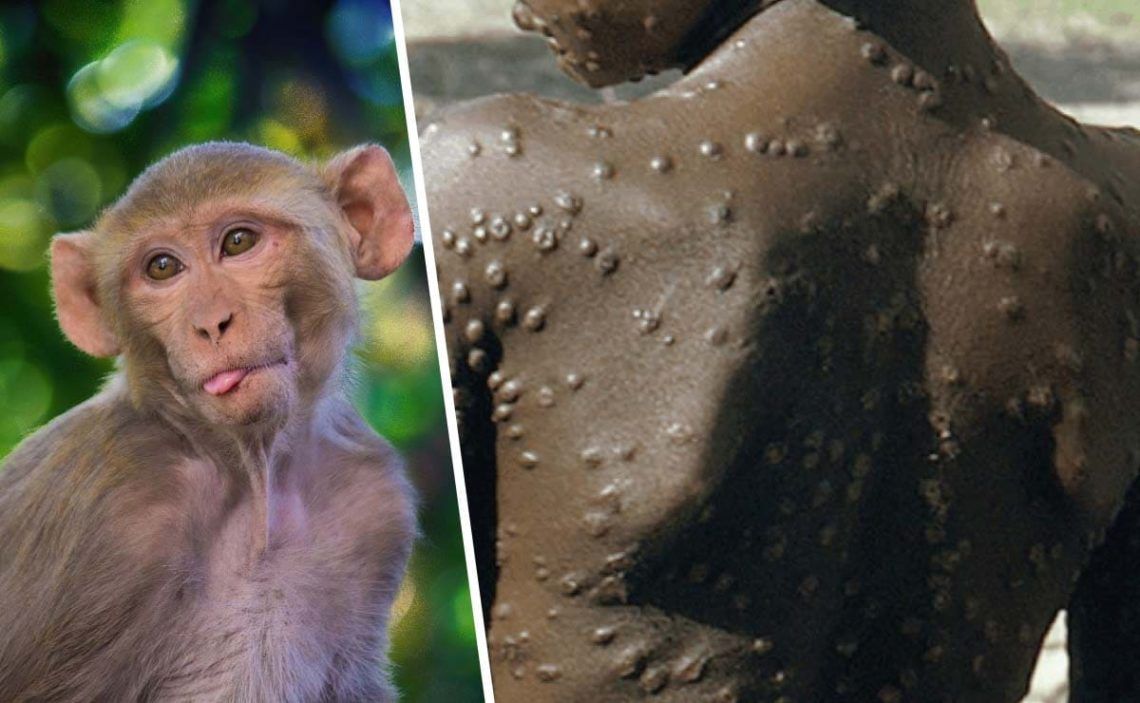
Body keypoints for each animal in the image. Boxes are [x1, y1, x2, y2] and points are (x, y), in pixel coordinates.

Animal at [0, 141, 417, 702]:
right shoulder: (106, 506)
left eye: (239, 242)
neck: (253, 474)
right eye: (162, 267)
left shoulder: (376, 501)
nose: (210, 323)